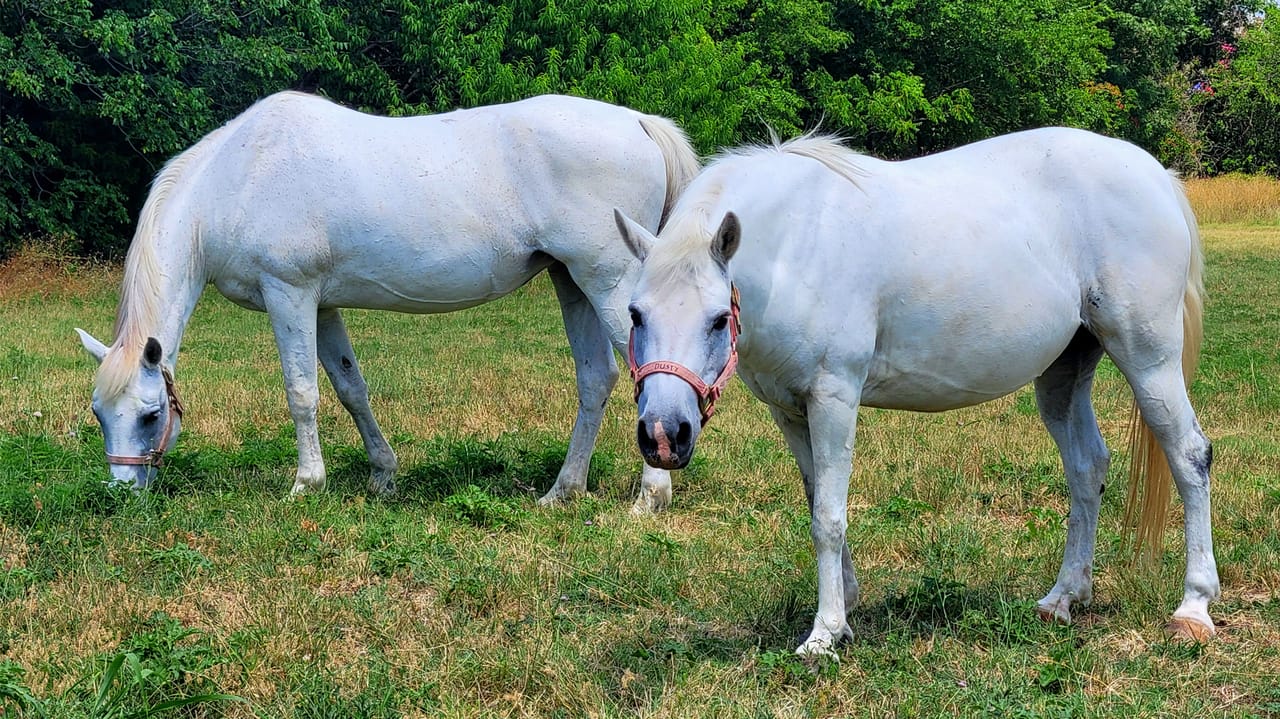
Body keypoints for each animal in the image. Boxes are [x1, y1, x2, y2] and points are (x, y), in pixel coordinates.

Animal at [75, 91, 700, 513]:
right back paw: (562, 491)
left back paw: (651, 495)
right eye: (100, 413)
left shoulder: (289, 295)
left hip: (607, 282)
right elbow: (350, 387)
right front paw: (384, 476)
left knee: (646, 374)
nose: (122, 494)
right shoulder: (321, 306)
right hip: (572, 282)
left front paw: (306, 484)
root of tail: (639, 123)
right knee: (597, 378)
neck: (239, 176)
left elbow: (301, 393)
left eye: (151, 414)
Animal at [613, 128, 1218, 657]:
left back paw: (1193, 608)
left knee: (1190, 456)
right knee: (1087, 468)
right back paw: (1064, 598)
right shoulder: (790, 410)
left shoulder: (834, 397)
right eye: (636, 313)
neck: (797, 243)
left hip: (1149, 359)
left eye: (718, 319)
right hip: (1065, 372)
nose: (664, 435)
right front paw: (845, 609)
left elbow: (828, 517)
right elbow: (817, 502)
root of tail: (1155, 174)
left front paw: (823, 636)